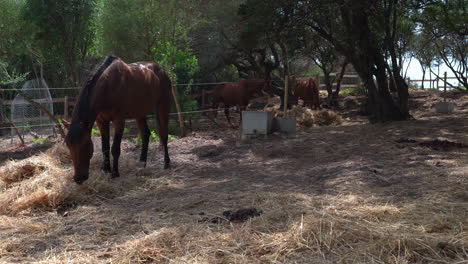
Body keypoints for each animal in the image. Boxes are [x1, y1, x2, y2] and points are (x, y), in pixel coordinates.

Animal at [63, 55, 171, 184]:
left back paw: (167, 164)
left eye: (84, 143)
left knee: (164, 135)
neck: (108, 86)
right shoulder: (101, 122)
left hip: (163, 106)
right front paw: (105, 169)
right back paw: (141, 163)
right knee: (145, 134)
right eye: (68, 144)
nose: (79, 178)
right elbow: (105, 147)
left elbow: (115, 148)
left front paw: (115, 173)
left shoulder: (119, 121)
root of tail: (161, 70)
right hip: (139, 112)